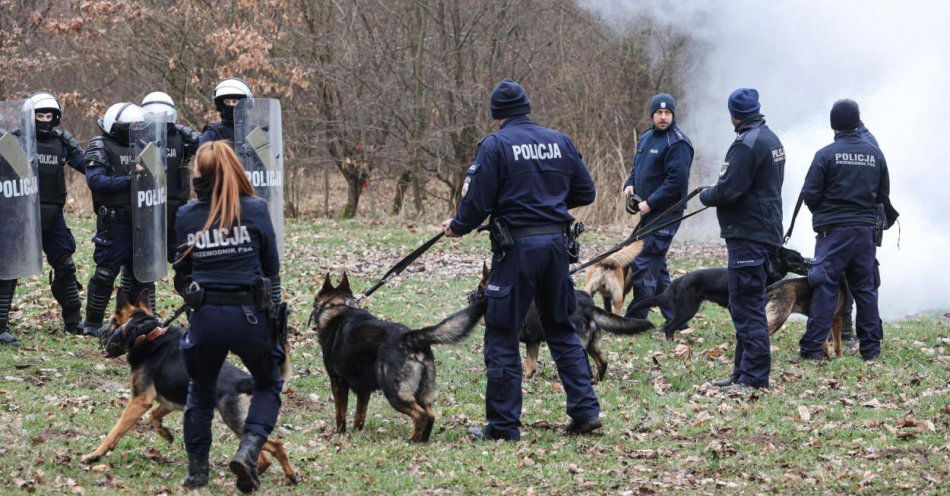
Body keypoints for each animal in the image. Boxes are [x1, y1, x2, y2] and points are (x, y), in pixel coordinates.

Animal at [88, 292, 300, 482]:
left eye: (113, 322)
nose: (99, 332)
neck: (145, 333)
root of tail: (246, 380)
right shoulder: (168, 402)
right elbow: (153, 417)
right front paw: (166, 434)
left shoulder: (139, 401)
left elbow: (115, 431)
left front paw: (95, 455)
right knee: (263, 454)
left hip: (234, 420)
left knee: (275, 446)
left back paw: (284, 474)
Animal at [314, 274, 490, 444]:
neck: (339, 308)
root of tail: (410, 337)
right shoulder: (364, 390)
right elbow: (360, 414)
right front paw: (357, 431)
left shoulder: (338, 382)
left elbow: (340, 413)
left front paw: (340, 433)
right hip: (422, 393)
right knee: (431, 415)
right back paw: (422, 441)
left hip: (395, 392)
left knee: (420, 415)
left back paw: (412, 440)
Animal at [472, 262, 660, 382]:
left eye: (480, 288)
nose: (471, 296)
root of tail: (586, 305)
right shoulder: (532, 342)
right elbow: (530, 364)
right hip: (593, 345)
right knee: (603, 363)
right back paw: (597, 382)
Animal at [628, 246, 816, 340]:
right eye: (798, 258)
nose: (811, 263)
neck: (768, 272)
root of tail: (680, 279)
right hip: (688, 309)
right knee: (669, 326)